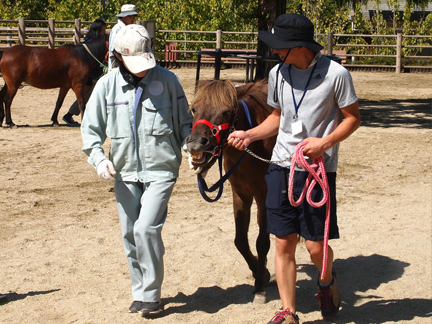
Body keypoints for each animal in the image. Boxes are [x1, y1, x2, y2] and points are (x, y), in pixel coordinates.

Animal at [186, 79, 276, 302]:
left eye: (226, 112)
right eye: (194, 109)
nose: (195, 143)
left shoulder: (264, 197)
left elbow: (262, 242)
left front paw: (260, 286)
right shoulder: (241, 194)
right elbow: (240, 241)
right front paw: (261, 272)